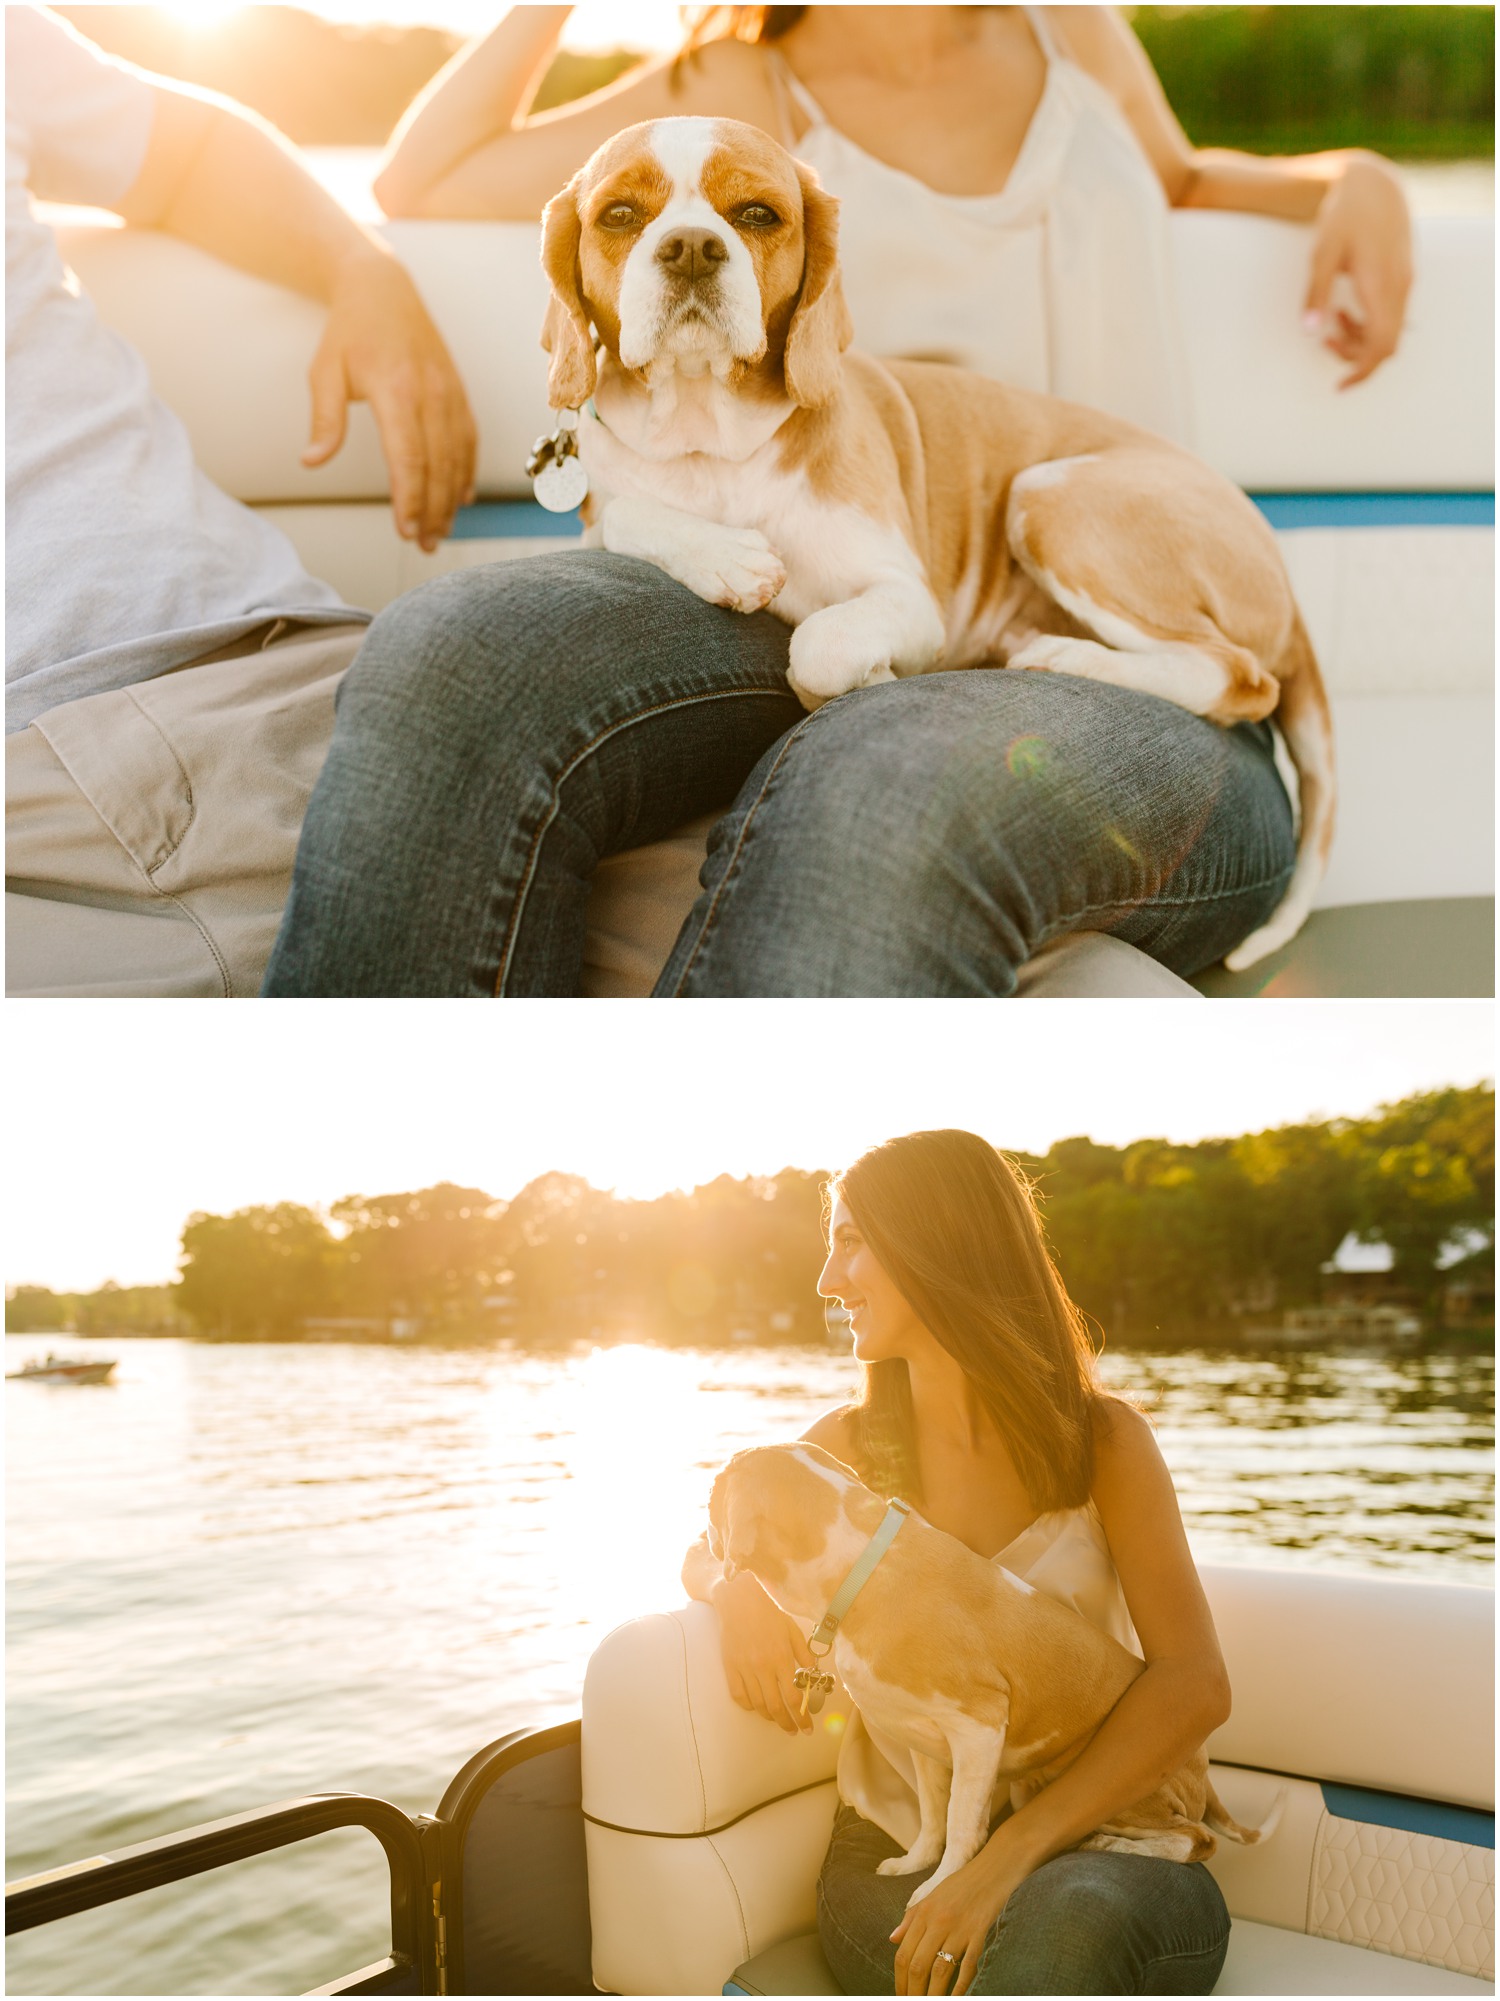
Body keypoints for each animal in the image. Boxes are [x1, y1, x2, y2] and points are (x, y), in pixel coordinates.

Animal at [540, 113, 1336, 972]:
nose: (690, 246)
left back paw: (1069, 657)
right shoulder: (611, 505)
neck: (706, 436)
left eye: (756, 214)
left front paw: (868, 675)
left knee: (1239, 676)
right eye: (620, 215)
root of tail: (1288, 586)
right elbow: (629, 512)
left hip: (1052, 497)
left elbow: (819, 646)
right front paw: (727, 558)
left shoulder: (907, 599)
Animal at [708, 1448, 1272, 1896]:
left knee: (1196, 1840)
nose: (704, 1518)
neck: (862, 1567)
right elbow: (933, 1816)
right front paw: (915, 1865)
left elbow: (961, 1825)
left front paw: (938, 1890)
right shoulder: (923, 1737)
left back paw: (1116, 1844)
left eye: (717, 1491)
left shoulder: (977, 1726)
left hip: (1125, 1789)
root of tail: (1202, 1770)